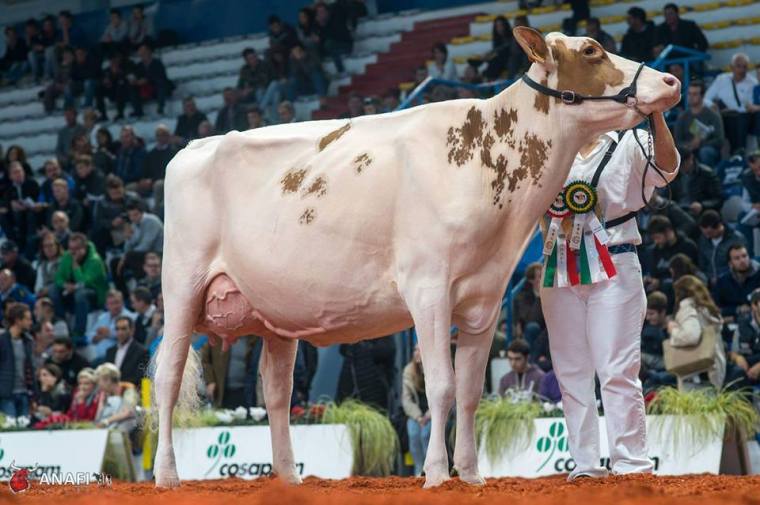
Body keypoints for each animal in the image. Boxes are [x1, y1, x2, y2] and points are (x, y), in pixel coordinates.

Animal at [152, 27, 680, 488]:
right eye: (591, 50)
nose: (671, 82)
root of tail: (195, 144)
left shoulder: (486, 298)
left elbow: (470, 391)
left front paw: (471, 475)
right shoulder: (428, 287)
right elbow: (441, 386)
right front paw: (436, 474)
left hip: (275, 314)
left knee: (276, 393)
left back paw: (287, 477)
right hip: (181, 287)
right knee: (168, 379)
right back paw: (167, 476)